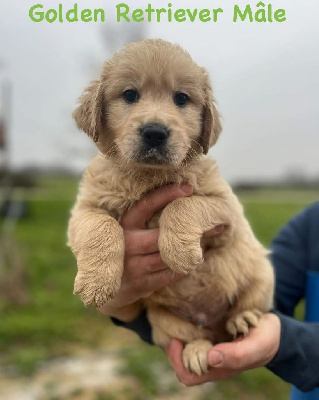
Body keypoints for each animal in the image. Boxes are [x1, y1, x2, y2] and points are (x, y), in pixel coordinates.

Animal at [67, 39, 276, 376]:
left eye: (181, 98)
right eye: (130, 95)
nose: (155, 132)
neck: (147, 175)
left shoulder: (226, 208)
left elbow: (182, 203)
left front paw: (178, 252)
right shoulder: (85, 207)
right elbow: (100, 226)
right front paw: (96, 283)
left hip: (262, 276)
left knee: (248, 306)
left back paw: (243, 319)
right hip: (162, 320)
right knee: (197, 336)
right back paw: (197, 352)